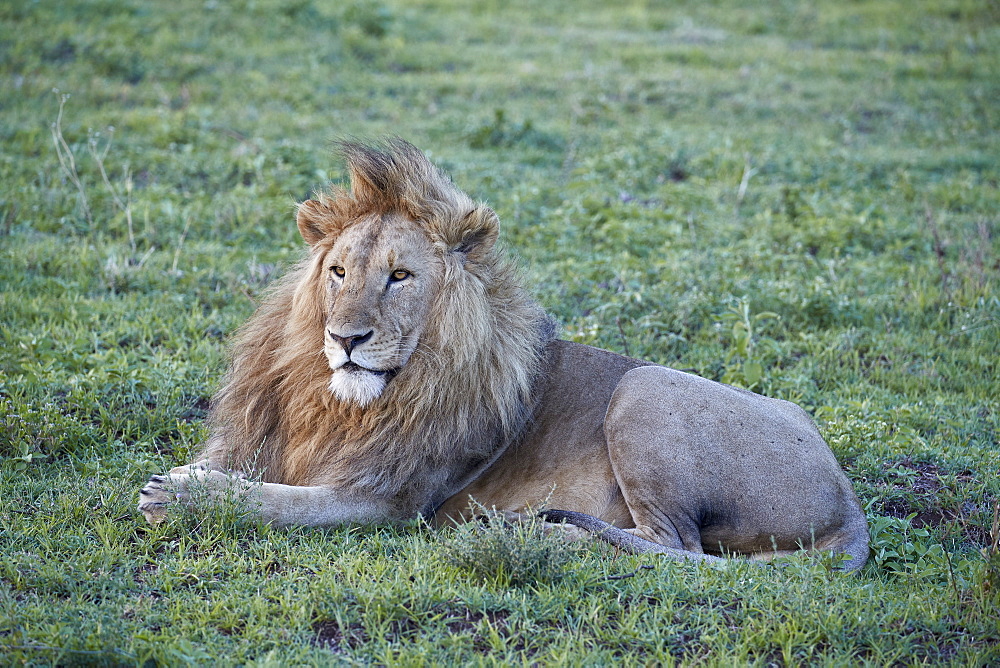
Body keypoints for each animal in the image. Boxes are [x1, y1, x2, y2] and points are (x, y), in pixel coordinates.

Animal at [137, 138, 872, 572]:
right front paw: (189, 480)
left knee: (671, 545)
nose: (346, 339)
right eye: (339, 272)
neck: (338, 403)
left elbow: (278, 502)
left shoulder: (392, 501)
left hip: (645, 390)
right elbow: (238, 468)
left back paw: (522, 534)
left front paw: (179, 495)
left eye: (400, 276)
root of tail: (850, 501)